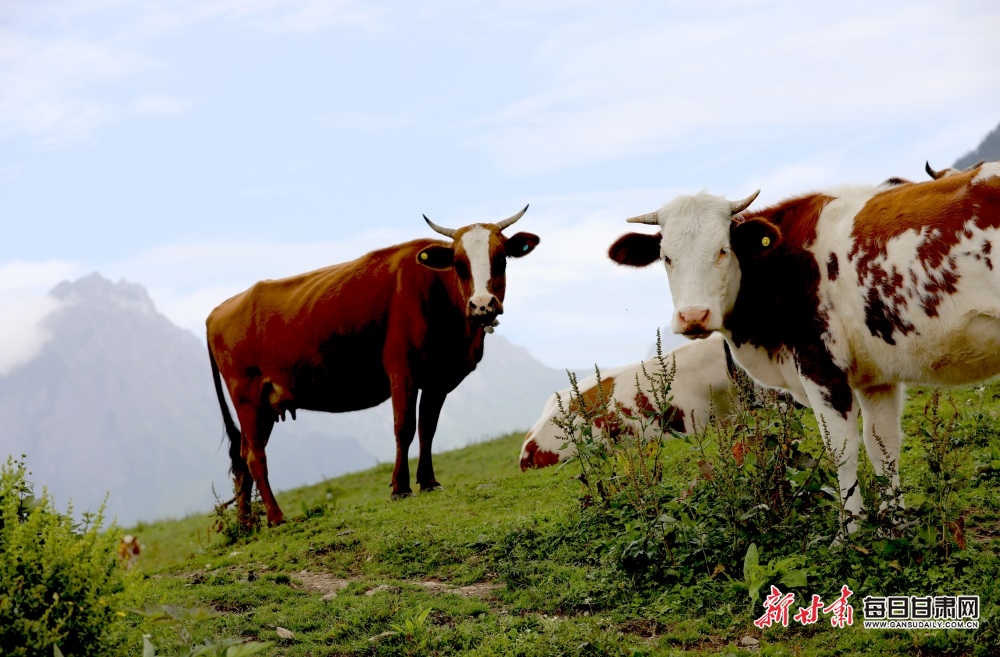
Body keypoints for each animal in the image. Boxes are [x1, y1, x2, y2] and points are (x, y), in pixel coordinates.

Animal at [207, 208, 544, 524]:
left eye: (500, 259)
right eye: (459, 264)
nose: (482, 305)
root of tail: (218, 311)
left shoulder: (438, 377)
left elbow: (428, 428)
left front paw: (429, 482)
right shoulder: (401, 368)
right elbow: (404, 427)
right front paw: (400, 488)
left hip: (259, 406)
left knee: (243, 455)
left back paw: (247, 523)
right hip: (248, 398)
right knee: (255, 455)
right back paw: (276, 517)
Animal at [608, 164, 1000, 528]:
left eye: (723, 250)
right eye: (667, 258)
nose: (693, 316)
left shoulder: (818, 364)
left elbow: (842, 449)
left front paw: (851, 531)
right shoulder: (877, 375)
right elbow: (883, 445)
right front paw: (894, 522)